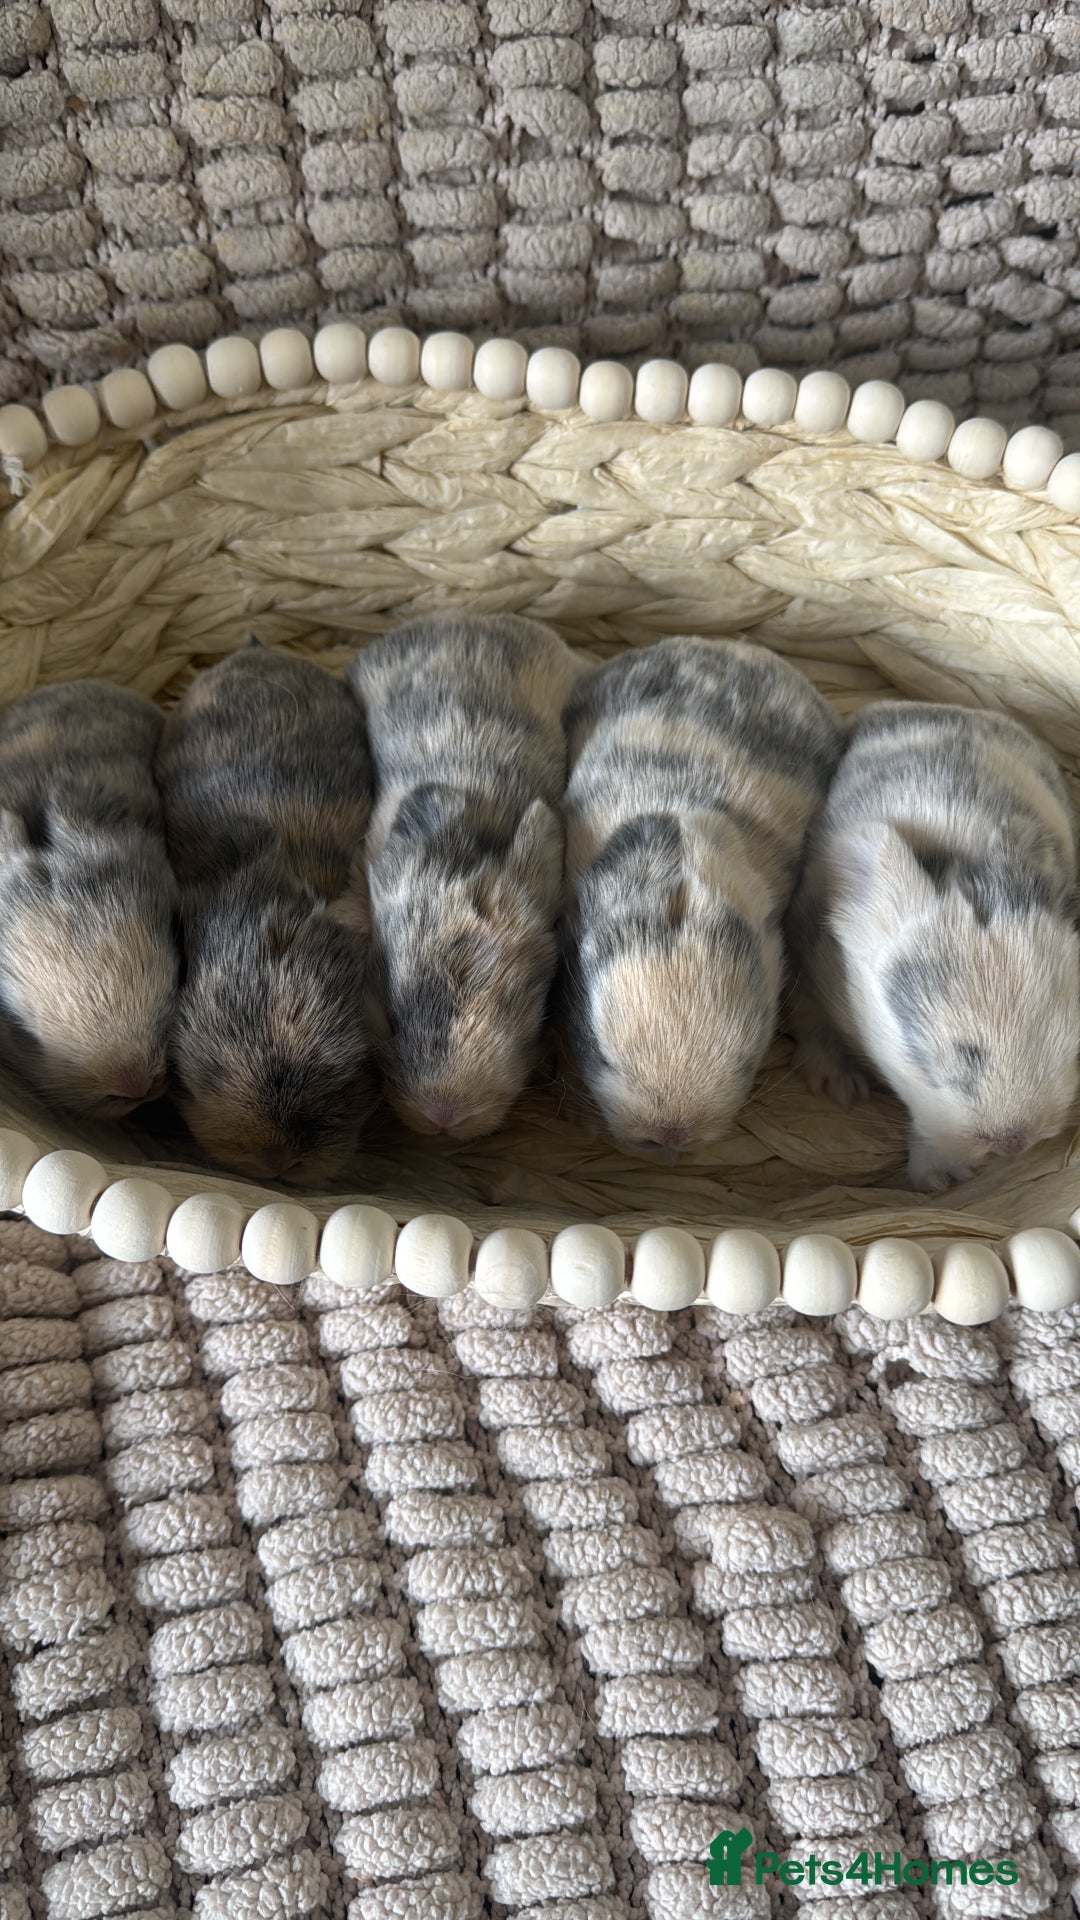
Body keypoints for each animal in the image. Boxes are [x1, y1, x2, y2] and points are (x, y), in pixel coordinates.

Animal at [786, 699, 1080, 1193]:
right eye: (951, 1057)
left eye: (1072, 1043)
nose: (1014, 1143)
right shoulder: (809, 959)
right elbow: (811, 1022)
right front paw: (840, 1087)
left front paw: (938, 1177)